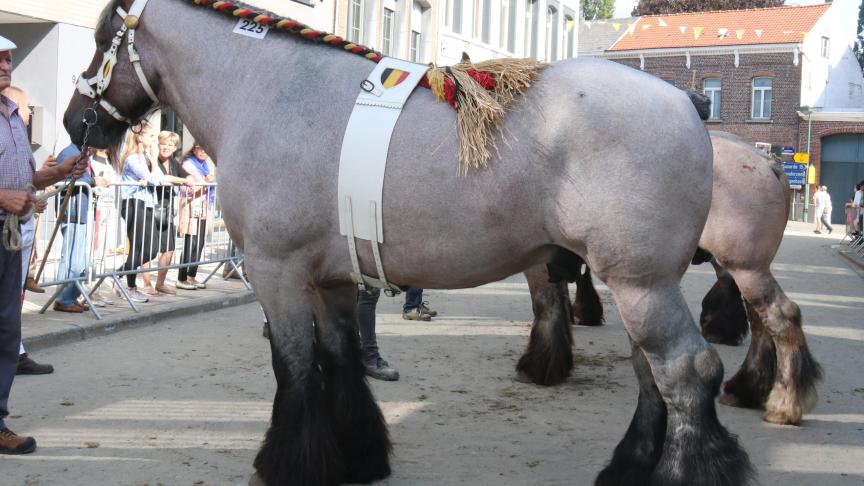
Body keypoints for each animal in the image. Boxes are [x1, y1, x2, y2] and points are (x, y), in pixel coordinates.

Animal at [64, 1, 756, 484]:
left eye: (101, 40)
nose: (76, 123)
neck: (272, 93)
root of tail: (687, 104)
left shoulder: (275, 271)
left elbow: (294, 366)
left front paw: (288, 462)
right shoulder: (332, 278)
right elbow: (340, 360)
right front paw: (360, 454)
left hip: (641, 282)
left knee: (685, 371)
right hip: (641, 282)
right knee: (651, 374)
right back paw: (629, 466)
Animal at [524, 132, 820, 426]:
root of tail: (767, 163)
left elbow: (546, 304)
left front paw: (540, 364)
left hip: (745, 266)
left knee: (780, 316)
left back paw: (784, 403)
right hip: (748, 268)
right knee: (760, 322)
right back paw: (746, 388)